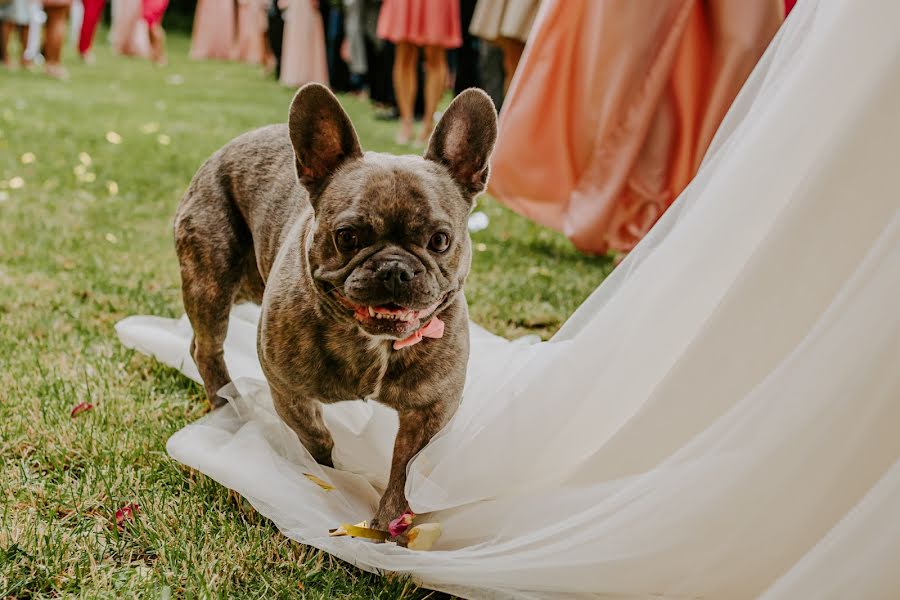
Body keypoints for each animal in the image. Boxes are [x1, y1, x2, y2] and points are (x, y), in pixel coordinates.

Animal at [174, 83, 500, 528]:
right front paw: (331, 482)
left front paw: (389, 523)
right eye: (347, 236)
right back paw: (229, 407)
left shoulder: (432, 409)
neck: (371, 343)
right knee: (206, 348)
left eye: (440, 240)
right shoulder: (288, 389)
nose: (395, 269)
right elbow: (316, 438)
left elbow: (405, 468)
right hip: (210, 281)